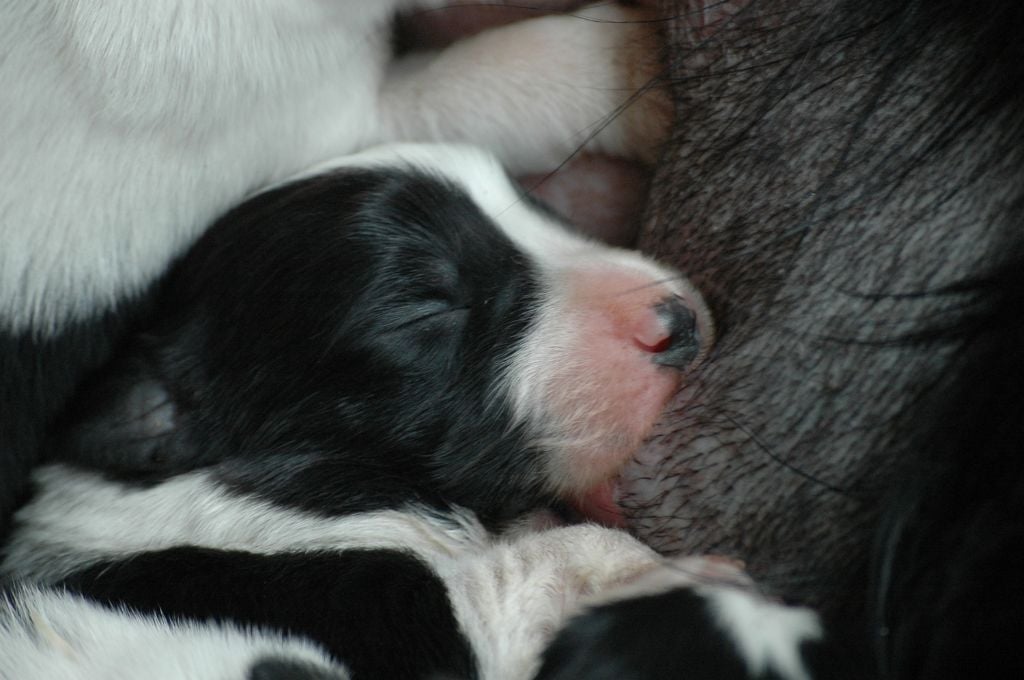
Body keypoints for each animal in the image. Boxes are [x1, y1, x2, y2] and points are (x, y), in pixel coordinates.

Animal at [0, 144, 819, 680]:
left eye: (543, 212)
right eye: (425, 306)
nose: (677, 323)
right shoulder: (402, 610)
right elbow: (544, 569)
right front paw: (680, 573)